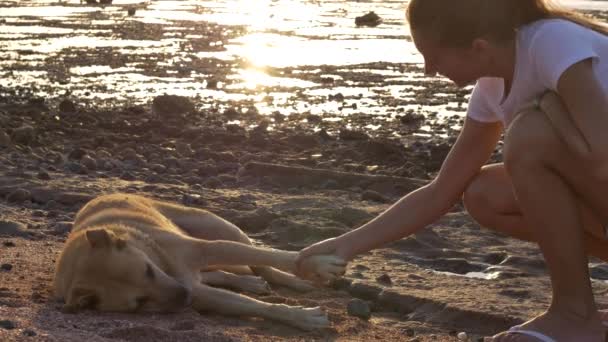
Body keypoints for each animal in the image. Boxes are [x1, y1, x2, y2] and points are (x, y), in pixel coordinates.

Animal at [53, 194, 346, 330]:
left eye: (148, 270)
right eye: (139, 303)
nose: (184, 298)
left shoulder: (203, 250)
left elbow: (279, 257)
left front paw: (319, 265)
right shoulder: (198, 291)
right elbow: (249, 304)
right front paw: (301, 317)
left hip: (219, 226)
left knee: (260, 262)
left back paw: (297, 281)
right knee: (218, 276)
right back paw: (250, 283)